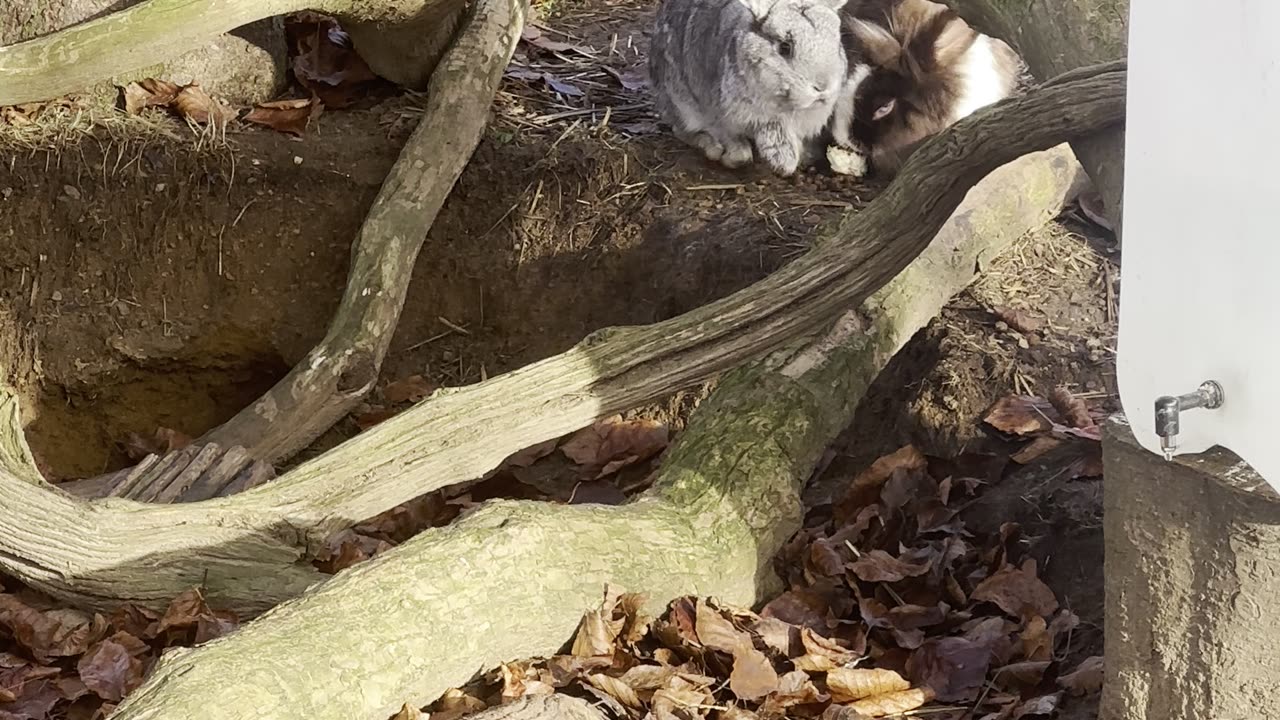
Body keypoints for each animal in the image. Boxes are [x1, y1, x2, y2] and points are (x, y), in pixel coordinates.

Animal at [649, 0, 851, 177]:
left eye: (837, 44)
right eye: (785, 47)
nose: (823, 87)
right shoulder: (723, 119)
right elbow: (742, 154)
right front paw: (730, 159)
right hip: (681, 104)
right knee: (682, 130)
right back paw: (711, 147)